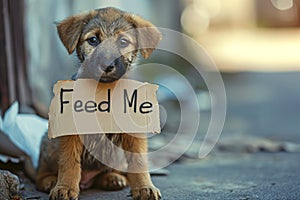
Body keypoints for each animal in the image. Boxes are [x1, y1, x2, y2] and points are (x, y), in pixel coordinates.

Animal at [35, 7, 162, 199]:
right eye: (93, 40)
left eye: (123, 42)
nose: (106, 65)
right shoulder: (70, 132)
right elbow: (69, 162)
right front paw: (64, 187)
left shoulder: (133, 133)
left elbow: (139, 162)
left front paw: (144, 188)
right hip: (49, 144)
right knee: (40, 171)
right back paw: (49, 180)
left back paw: (112, 178)